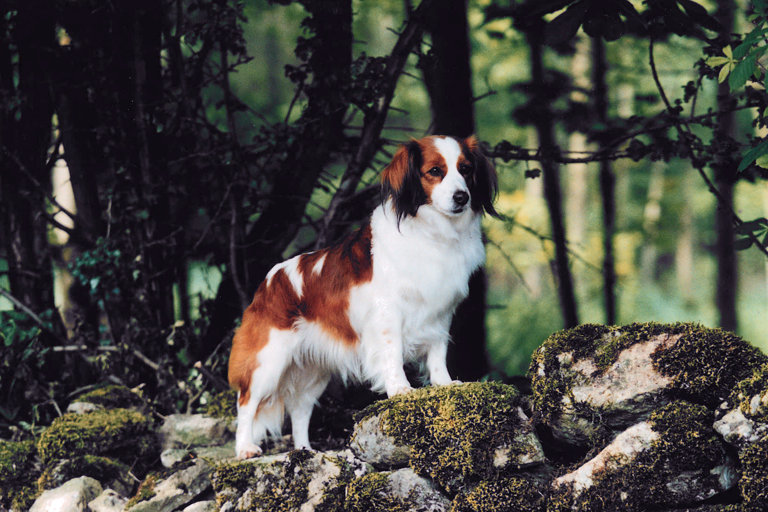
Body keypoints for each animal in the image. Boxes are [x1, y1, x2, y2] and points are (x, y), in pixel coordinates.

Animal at [226, 134, 498, 458]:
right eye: (435, 171)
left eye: (466, 169)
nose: (461, 197)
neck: (432, 233)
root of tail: (267, 282)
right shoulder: (387, 314)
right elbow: (393, 354)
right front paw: (400, 390)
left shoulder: (440, 313)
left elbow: (437, 352)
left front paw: (444, 383)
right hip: (269, 360)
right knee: (246, 403)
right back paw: (245, 448)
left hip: (312, 372)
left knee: (300, 411)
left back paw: (306, 451)